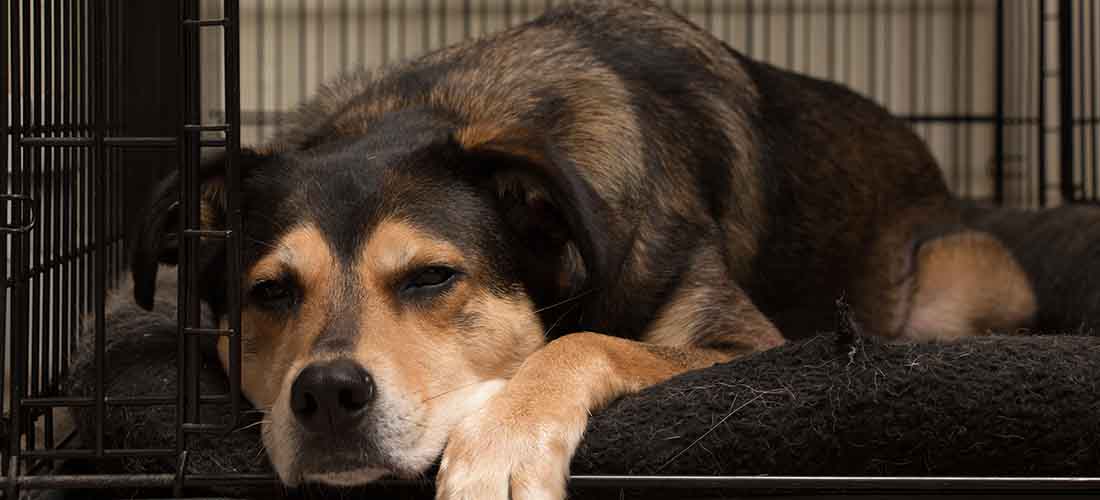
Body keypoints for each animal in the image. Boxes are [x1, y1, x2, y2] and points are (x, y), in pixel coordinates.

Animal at [130, 1, 1038, 498]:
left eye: (433, 277)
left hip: (968, 274)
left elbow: (586, 341)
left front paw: (499, 445)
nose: (325, 396)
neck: (447, 105)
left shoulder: (748, 347)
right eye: (270, 292)